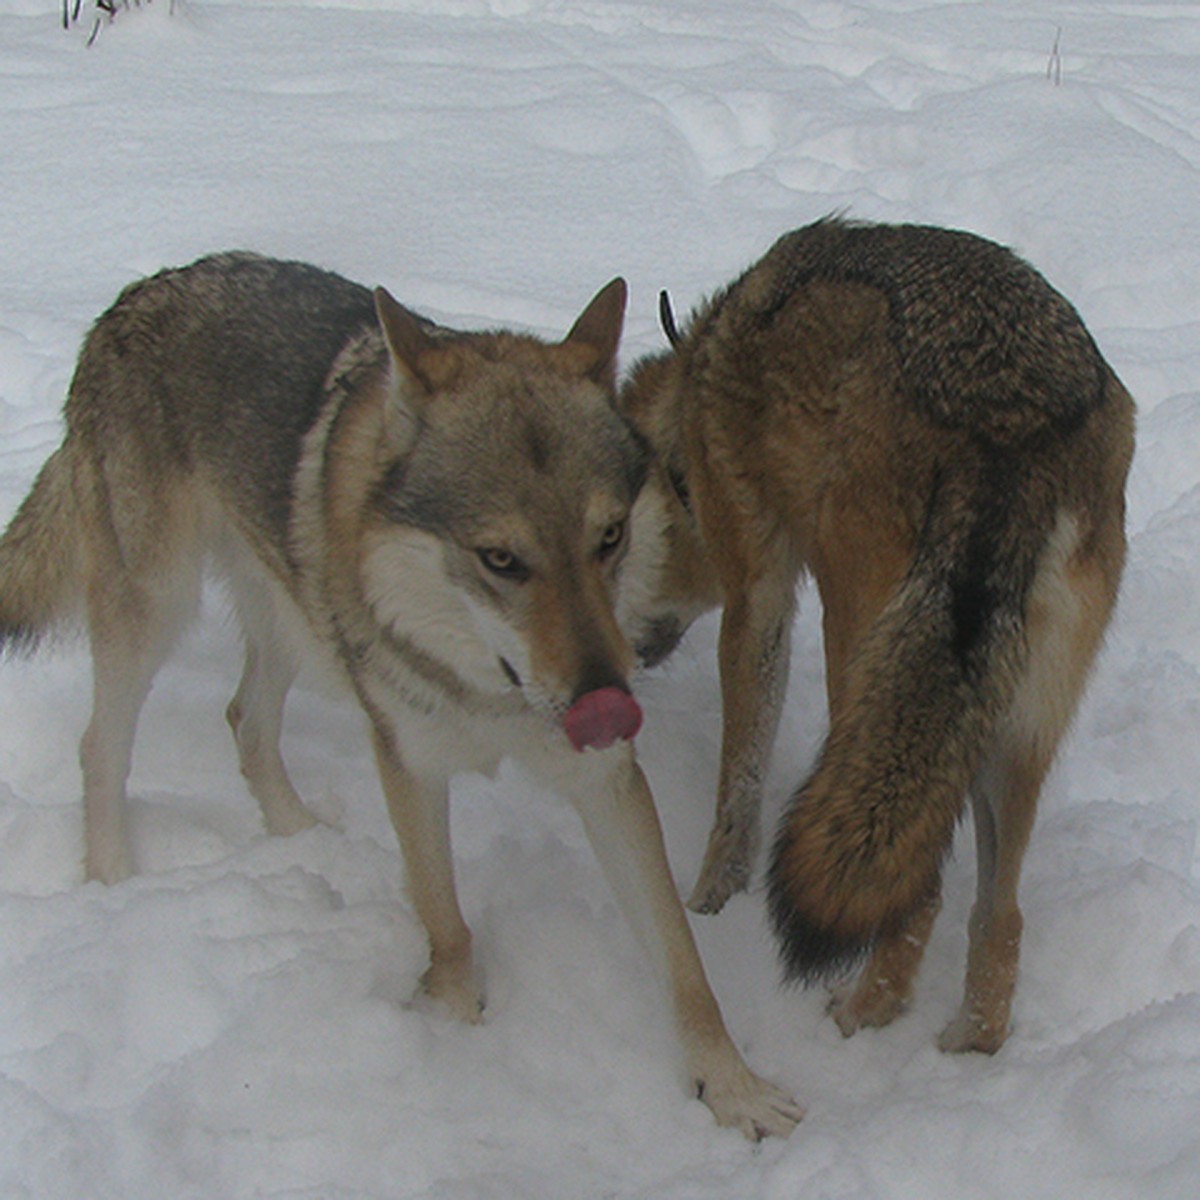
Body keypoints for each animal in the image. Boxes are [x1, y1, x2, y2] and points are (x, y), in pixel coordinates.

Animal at [2, 250, 806, 1132]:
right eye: (500, 560)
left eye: (609, 538)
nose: (610, 699)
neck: (491, 692)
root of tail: (137, 292)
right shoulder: (409, 762)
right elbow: (443, 917)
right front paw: (456, 1036)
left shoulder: (606, 782)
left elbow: (684, 962)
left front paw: (732, 1088)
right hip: (156, 608)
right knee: (101, 745)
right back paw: (114, 879)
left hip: (293, 612)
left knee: (245, 717)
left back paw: (302, 836)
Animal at [624, 218, 1137, 1051]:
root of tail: (1012, 425)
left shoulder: (758, 595)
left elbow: (740, 785)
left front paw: (708, 906)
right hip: (1004, 728)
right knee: (1000, 915)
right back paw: (968, 1042)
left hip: (857, 650)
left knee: (921, 894)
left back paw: (859, 1015)